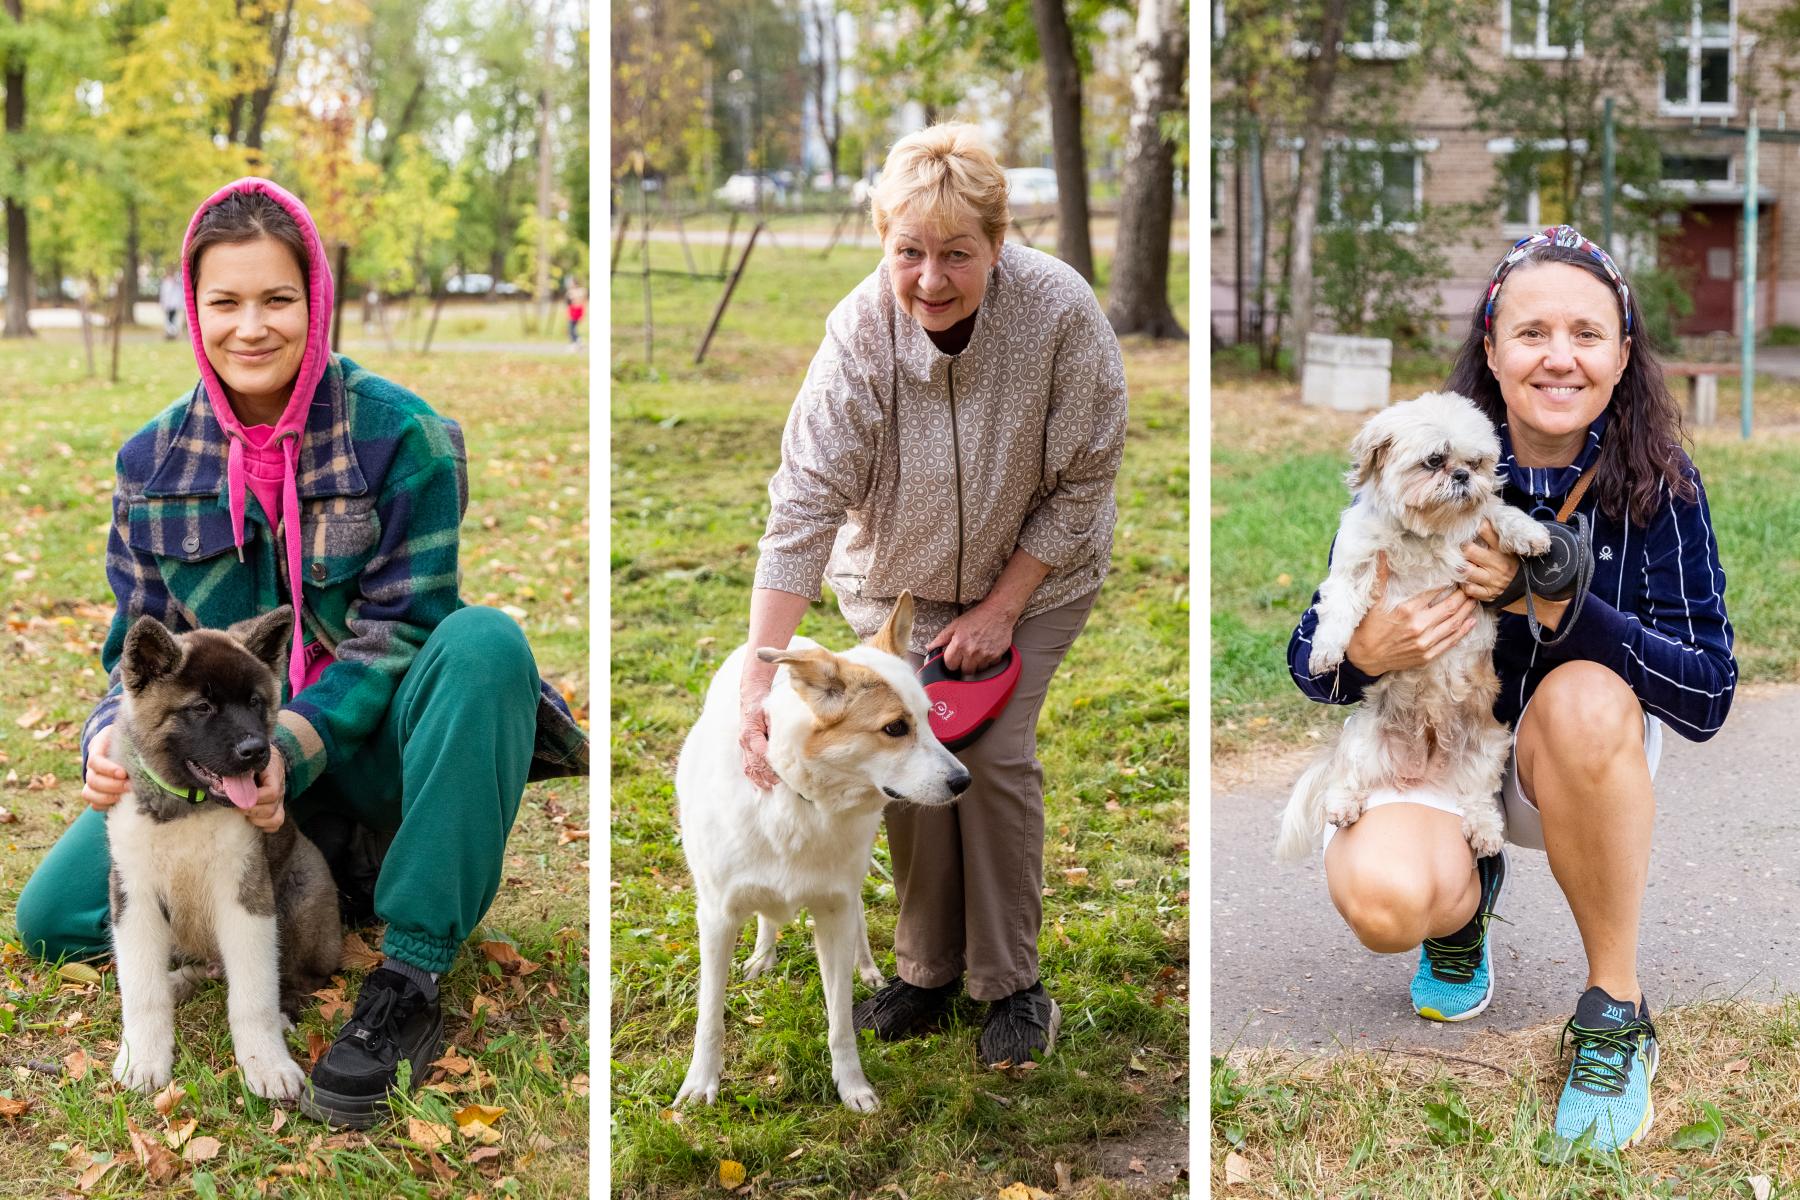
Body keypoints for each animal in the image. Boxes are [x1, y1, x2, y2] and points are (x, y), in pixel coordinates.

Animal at [106, 604, 340, 1101]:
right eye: (202, 707)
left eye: (255, 702)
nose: (257, 751)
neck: (186, 807)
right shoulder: (133, 898)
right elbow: (142, 990)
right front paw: (143, 1058)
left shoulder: (246, 897)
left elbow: (253, 995)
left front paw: (267, 1064)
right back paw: (179, 981)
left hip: (302, 892)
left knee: (299, 977)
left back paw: (286, 1009)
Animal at [676, 597, 972, 1115]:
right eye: (895, 728)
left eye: (931, 718)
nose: (964, 782)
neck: (800, 799)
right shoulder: (716, 917)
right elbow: (709, 1016)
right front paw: (701, 1083)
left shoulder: (833, 912)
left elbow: (840, 1022)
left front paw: (852, 1087)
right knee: (767, 917)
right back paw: (763, 955)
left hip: (851, 883)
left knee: (858, 918)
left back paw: (868, 969)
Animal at [1274, 394, 1555, 863]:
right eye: (1434, 460)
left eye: (1475, 462)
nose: (1462, 476)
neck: (1425, 533)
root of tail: (1423, 768)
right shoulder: (1354, 565)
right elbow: (1339, 609)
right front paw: (1326, 651)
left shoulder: (1479, 523)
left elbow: (1500, 510)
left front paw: (1529, 534)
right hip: (1363, 743)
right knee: (1346, 777)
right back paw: (1343, 804)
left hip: (1487, 748)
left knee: (1478, 797)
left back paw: (1484, 829)